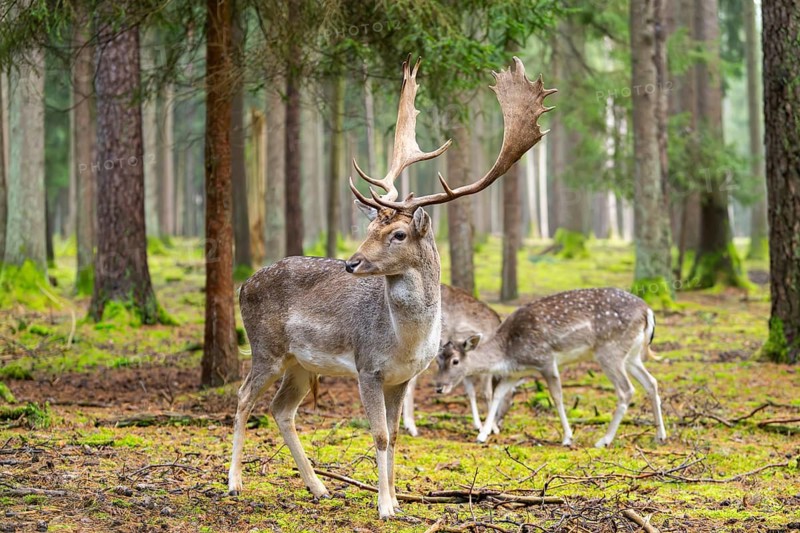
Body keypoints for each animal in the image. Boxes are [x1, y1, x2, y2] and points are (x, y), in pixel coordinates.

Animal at [402, 284, 508, 436]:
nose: (439, 389)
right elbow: (487, 393)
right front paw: (491, 428)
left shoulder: (466, 368)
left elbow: (471, 392)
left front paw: (478, 425)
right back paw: (411, 426)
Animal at [434, 288, 667, 448]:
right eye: (437, 360)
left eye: (455, 361)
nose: (439, 387)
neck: (509, 352)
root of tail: (648, 311)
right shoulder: (515, 373)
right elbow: (498, 394)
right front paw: (482, 435)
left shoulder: (545, 360)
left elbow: (557, 396)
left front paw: (567, 437)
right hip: (632, 355)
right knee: (652, 382)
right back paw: (660, 436)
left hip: (610, 352)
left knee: (626, 390)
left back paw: (604, 440)